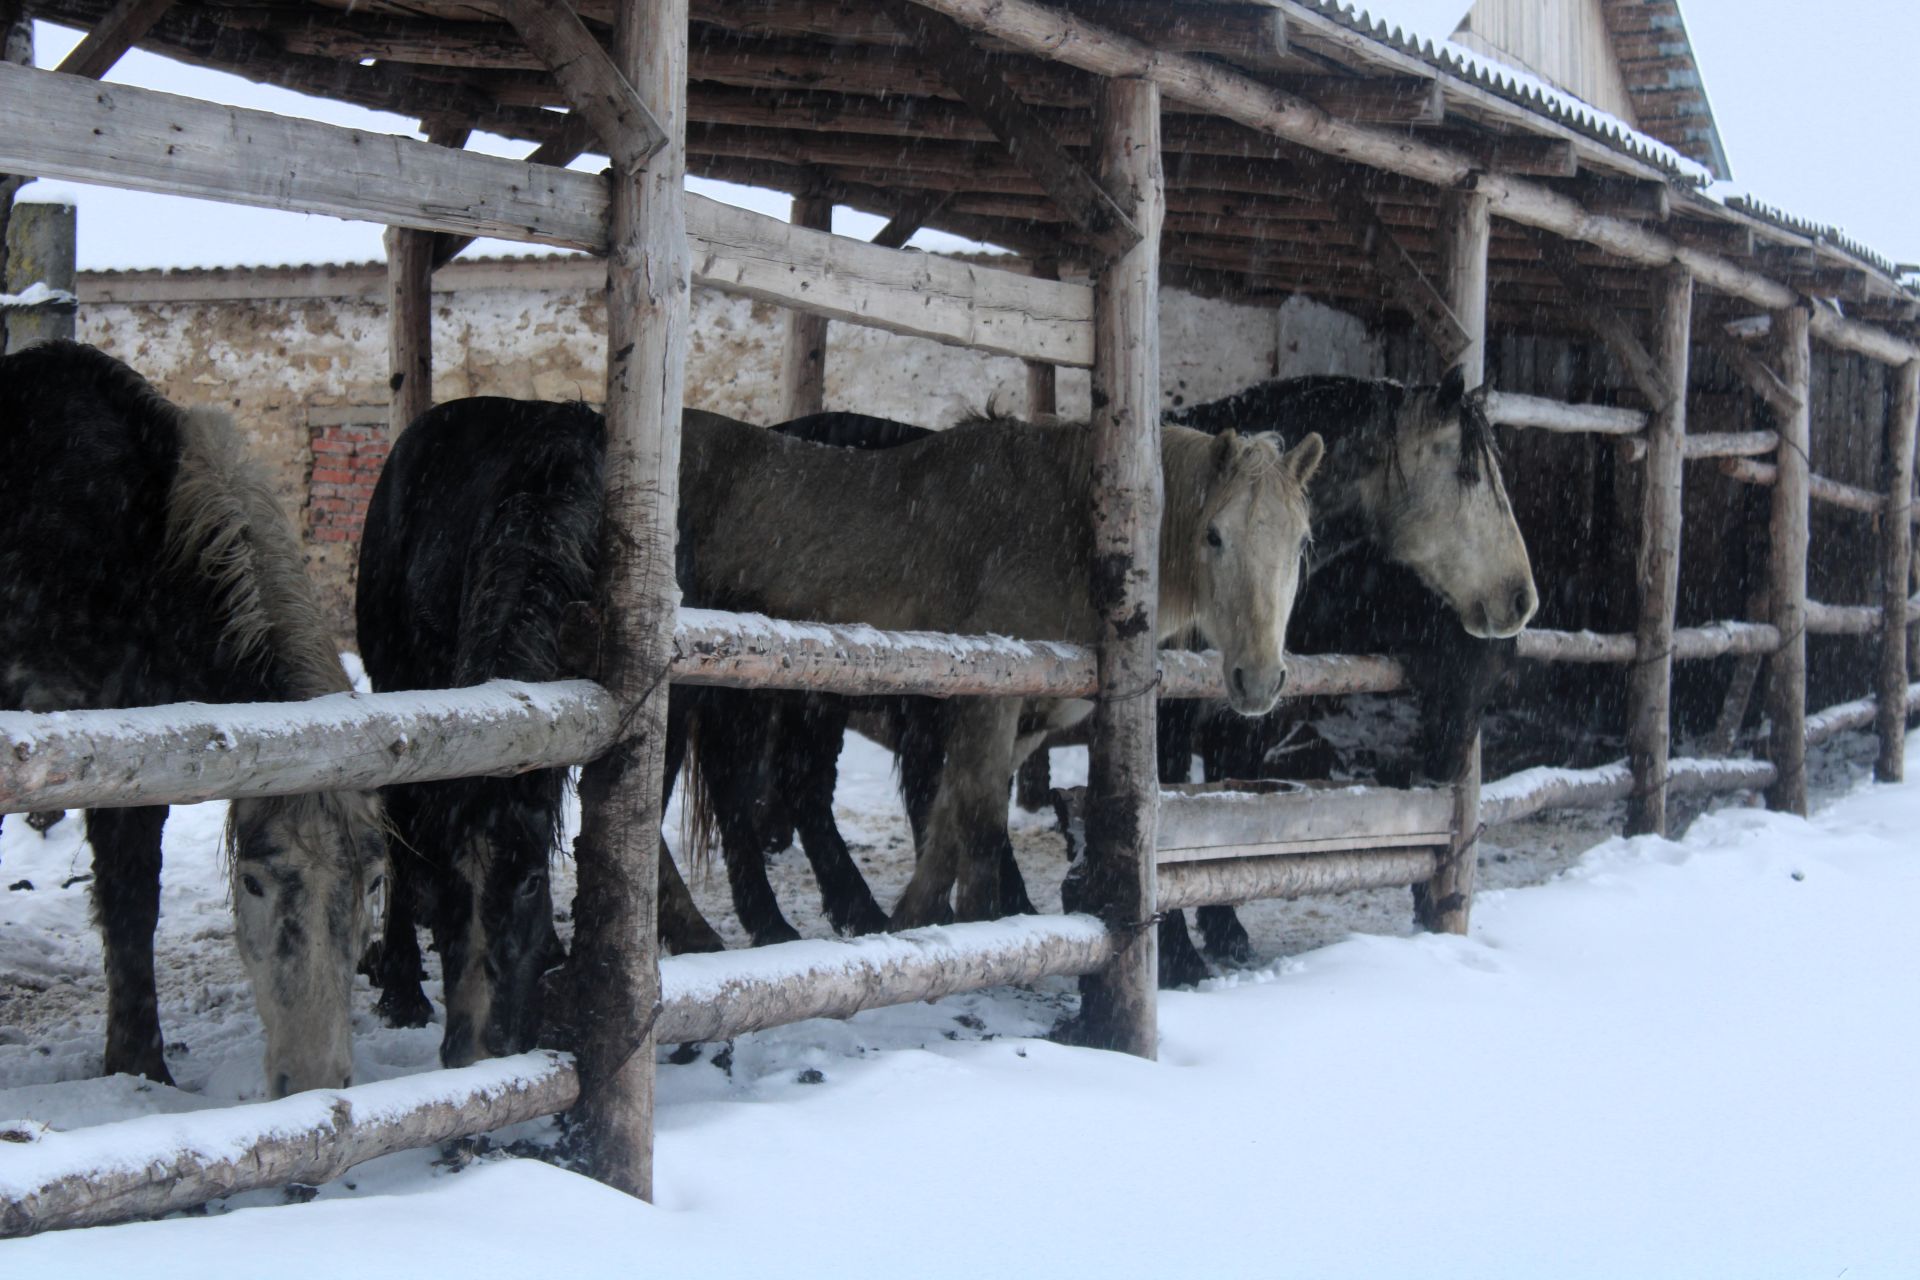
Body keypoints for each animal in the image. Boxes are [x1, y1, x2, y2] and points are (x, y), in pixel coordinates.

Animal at [0, 341, 383, 1097]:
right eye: (253, 882)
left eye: (374, 882)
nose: (314, 1081)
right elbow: (125, 903)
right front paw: (139, 1064)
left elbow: (135, 906)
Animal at [356, 397, 727, 1067]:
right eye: (445, 888)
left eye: (530, 882)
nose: (476, 1051)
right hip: (396, 679)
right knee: (400, 817)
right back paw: (400, 988)